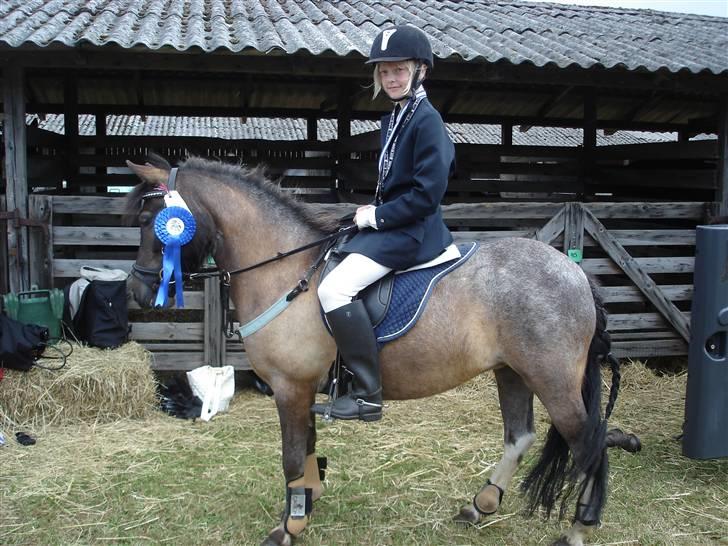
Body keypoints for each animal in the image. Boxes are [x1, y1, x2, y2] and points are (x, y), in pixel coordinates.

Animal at [125, 154, 620, 544]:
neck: (287, 268)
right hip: (512, 372)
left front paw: (288, 527)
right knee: (520, 436)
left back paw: (578, 529)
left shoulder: (290, 387)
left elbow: (291, 456)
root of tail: (575, 273)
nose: (136, 290)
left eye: (153, 223)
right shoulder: (303, 390)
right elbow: (308, 446)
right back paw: (480, 504)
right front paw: (308, 503)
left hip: (552, 380)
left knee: (589, 443)